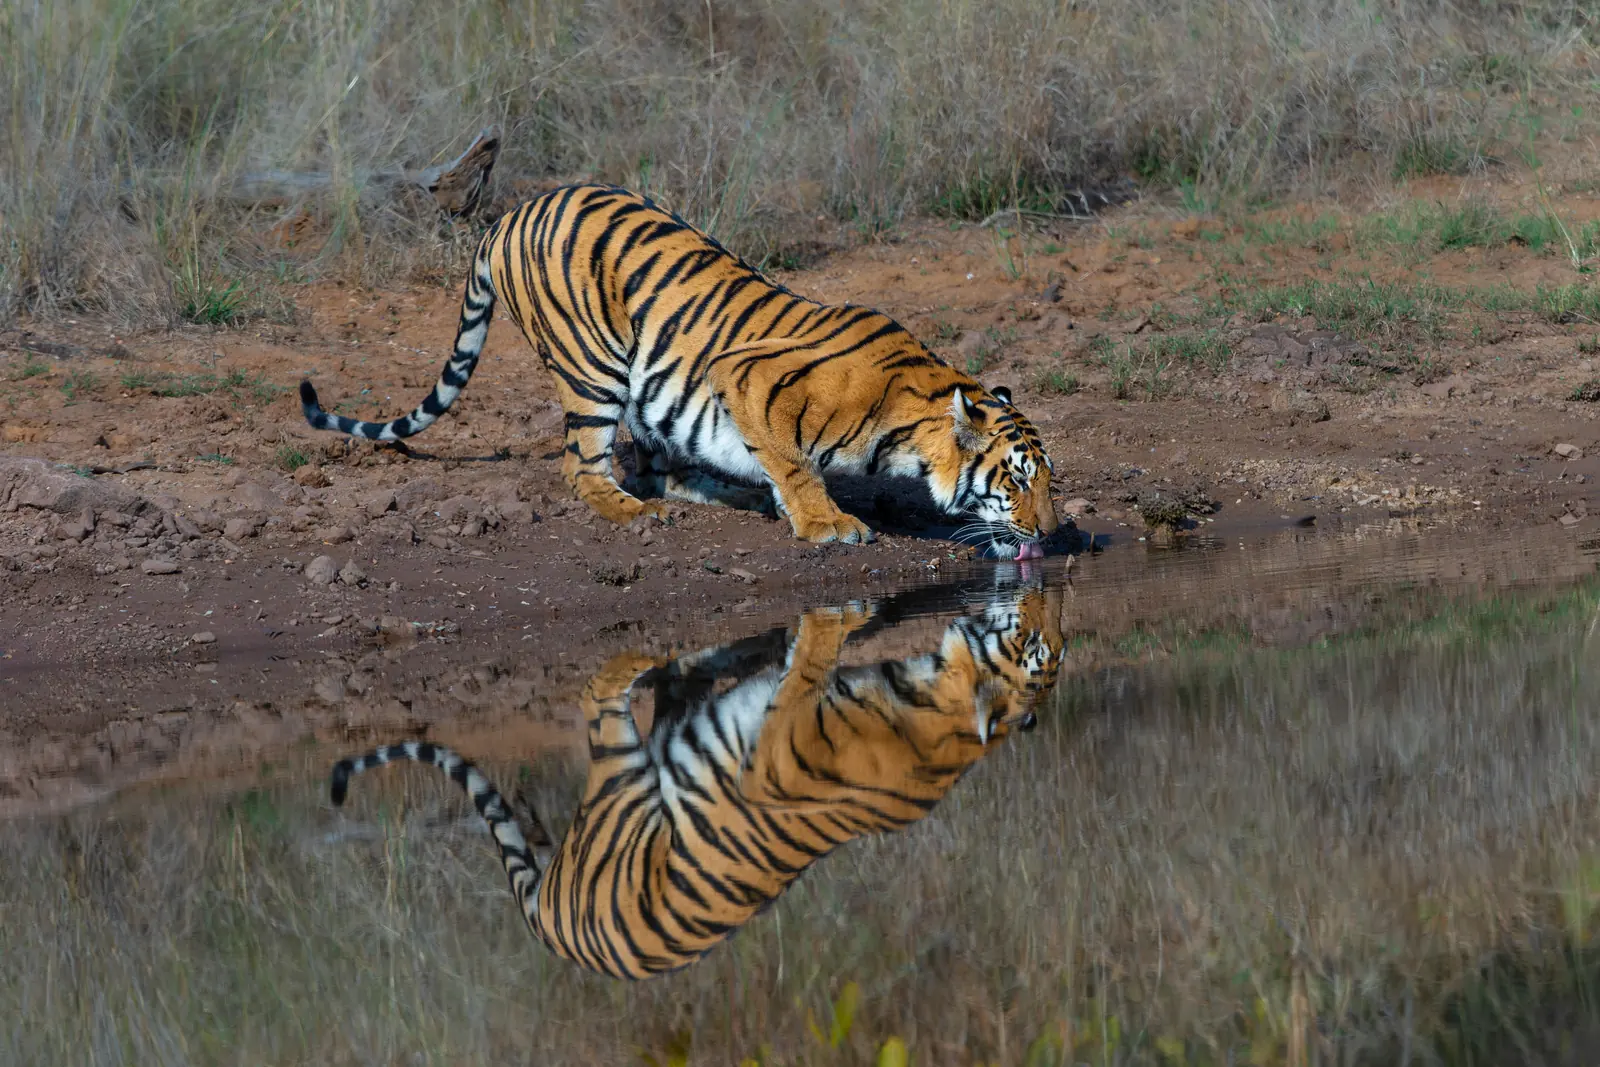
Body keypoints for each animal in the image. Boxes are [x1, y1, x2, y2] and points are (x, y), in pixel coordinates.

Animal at [298, 183, 1059, 559]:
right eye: (1017, 479)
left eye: (1051, 481)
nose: (1053, 535)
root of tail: (505, 217)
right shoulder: (751, 378)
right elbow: (794, 462)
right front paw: (827, 525)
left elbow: (778, 462)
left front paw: (787, 506)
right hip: (593, 367)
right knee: (583, 467)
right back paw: (633, 513)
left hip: (645, 386)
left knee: (657, 463)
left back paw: (717, 491)